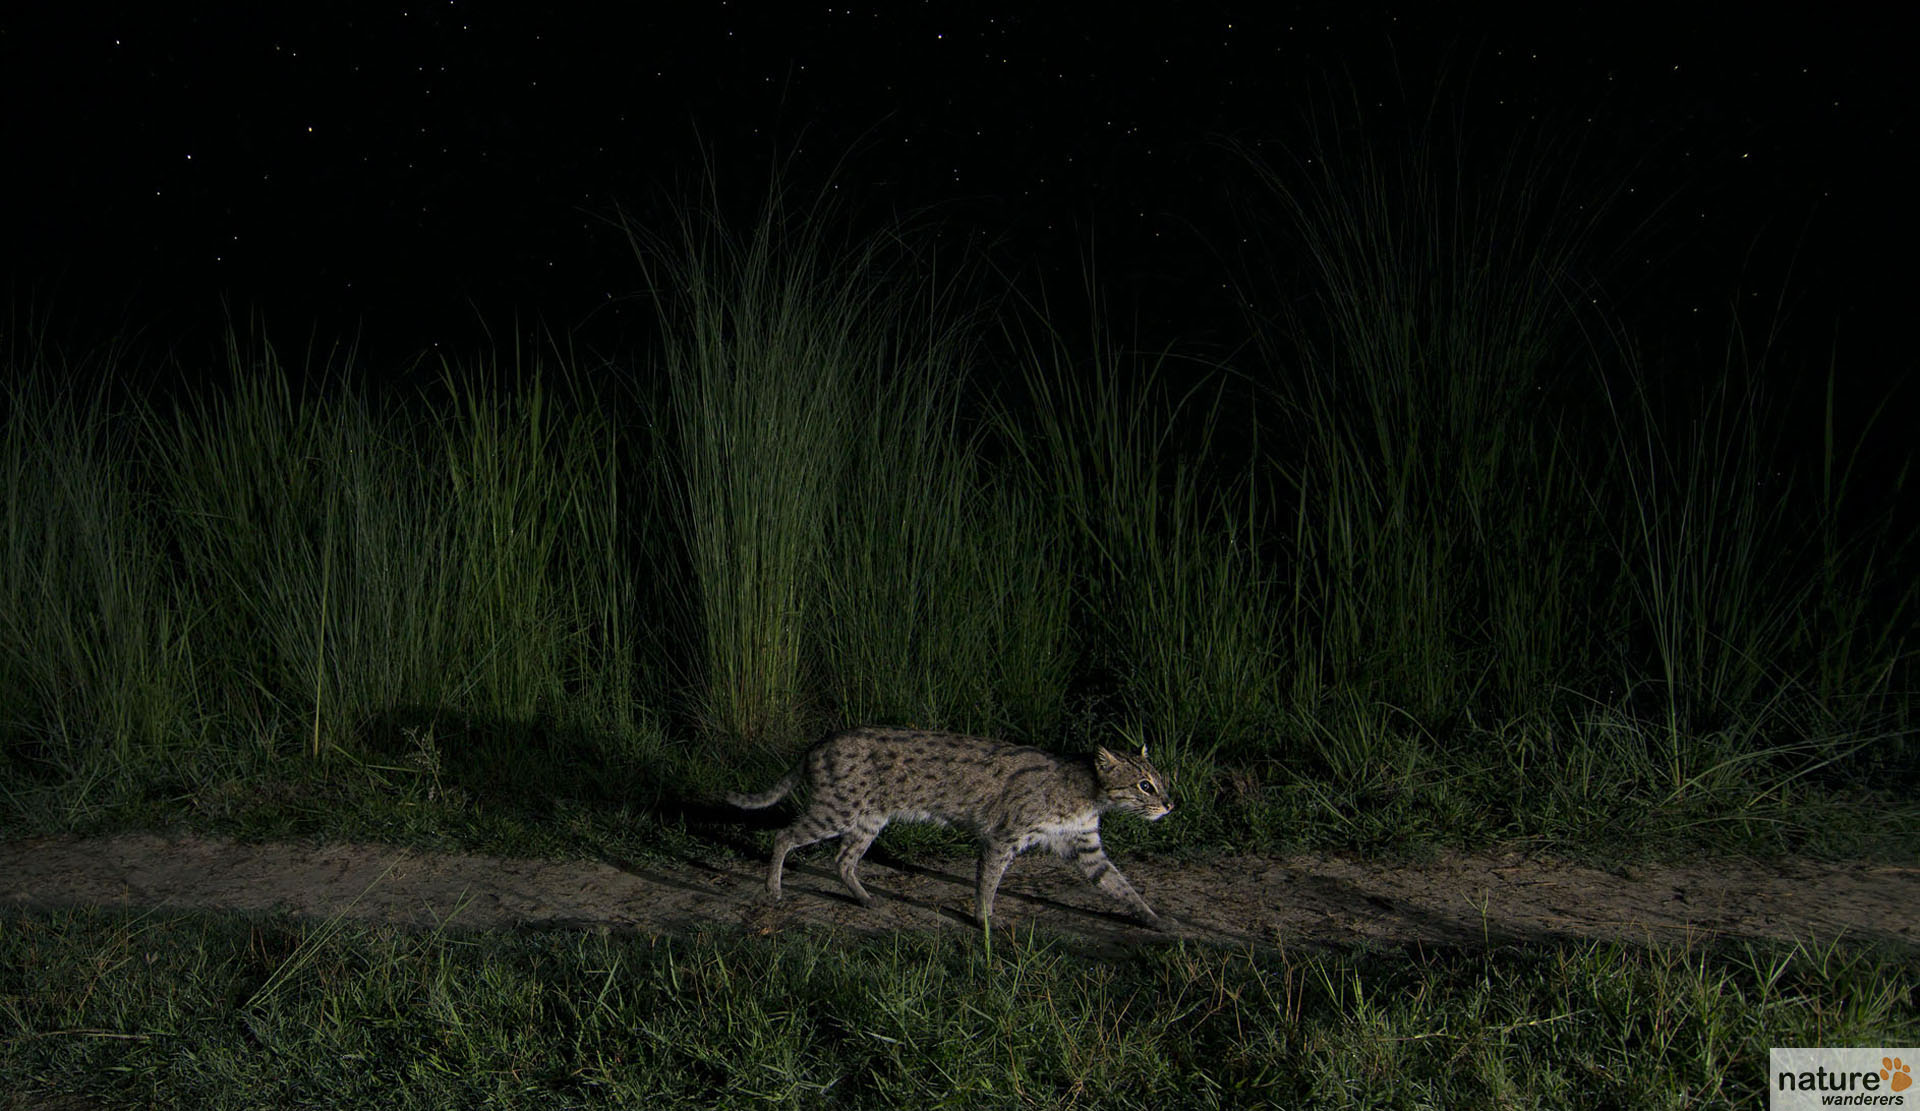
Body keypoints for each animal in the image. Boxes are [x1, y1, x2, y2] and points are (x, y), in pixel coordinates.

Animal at [725, 729, 1167, 928]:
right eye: (1144, 785)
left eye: (1160, 780)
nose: (1170, 804)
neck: (1090, 792)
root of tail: (817, 743)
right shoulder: (1002, 837)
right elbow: (987, 883)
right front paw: (985, 921)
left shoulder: (1086, 846)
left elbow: (1119, 884)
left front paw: (1155, 919)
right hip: (837, 811)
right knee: (783, 836)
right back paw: (773, 890)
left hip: (867, 819)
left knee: (843, 861)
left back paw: (865, 898)